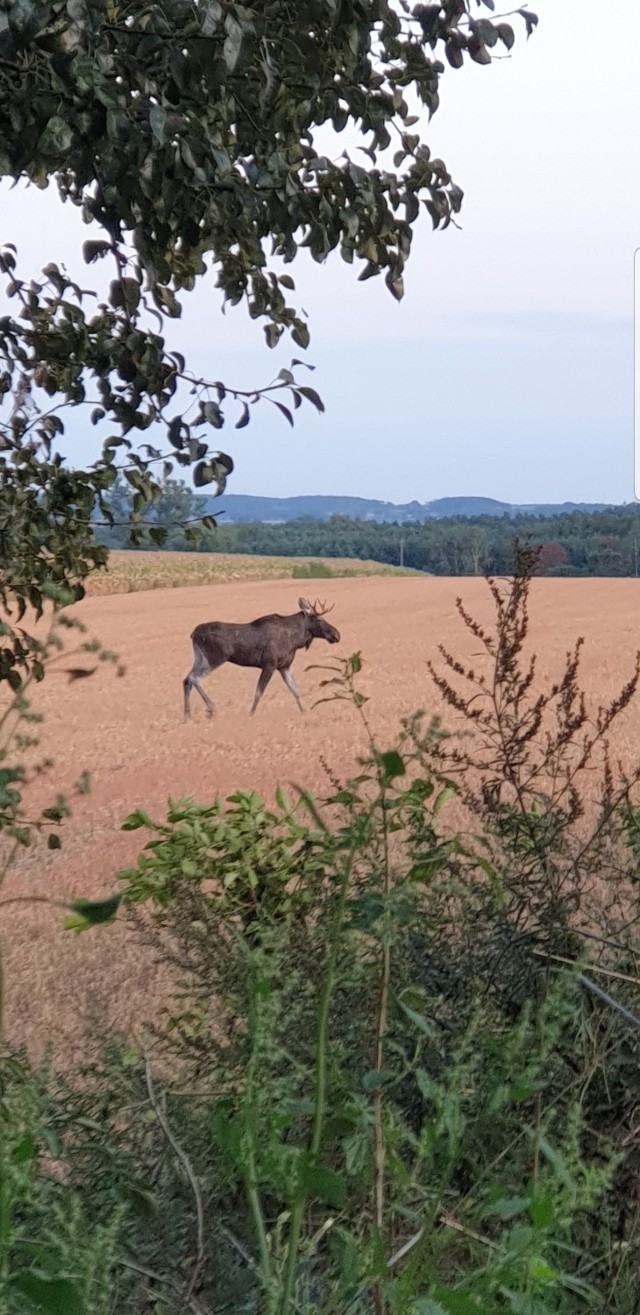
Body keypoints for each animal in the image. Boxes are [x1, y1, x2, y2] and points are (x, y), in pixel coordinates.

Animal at [182, 597, 341, 720]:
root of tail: (193, 634)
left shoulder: (284, 666)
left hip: (200, 658)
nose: (336, 635)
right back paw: (211, 708)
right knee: (195, 678)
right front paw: (251, 715)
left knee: (186, 679)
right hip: (216, 657)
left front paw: (305, 712)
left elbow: (296, 691)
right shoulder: (269, 664)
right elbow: (259, 692)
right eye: (319, 619)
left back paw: (187, 716)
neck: (295, 639)